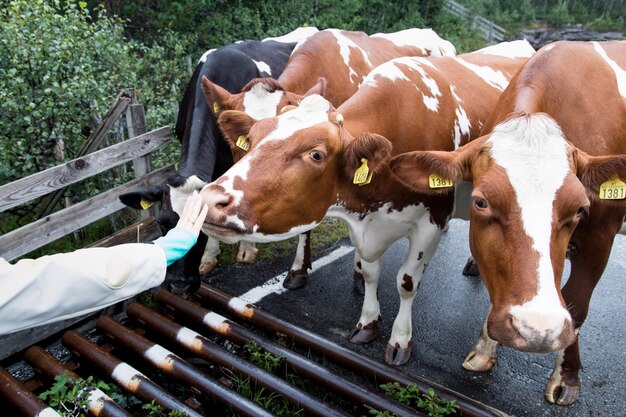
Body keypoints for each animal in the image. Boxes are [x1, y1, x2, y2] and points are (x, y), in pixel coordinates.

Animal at [199, 40, 532, 362]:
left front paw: (400, 340)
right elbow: (371, 273)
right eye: (252, 138)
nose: (211, 199)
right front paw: (368, 322)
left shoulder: (431, 222)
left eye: (316, 154)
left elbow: (407, 282)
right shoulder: (363, 220)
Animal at [388, 41, 624, 404]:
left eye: (582, 208)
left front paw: (566, 377)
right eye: (480, 202)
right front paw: (485, 351)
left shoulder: (600, 238)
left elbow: (578, 305)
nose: (537, 331)